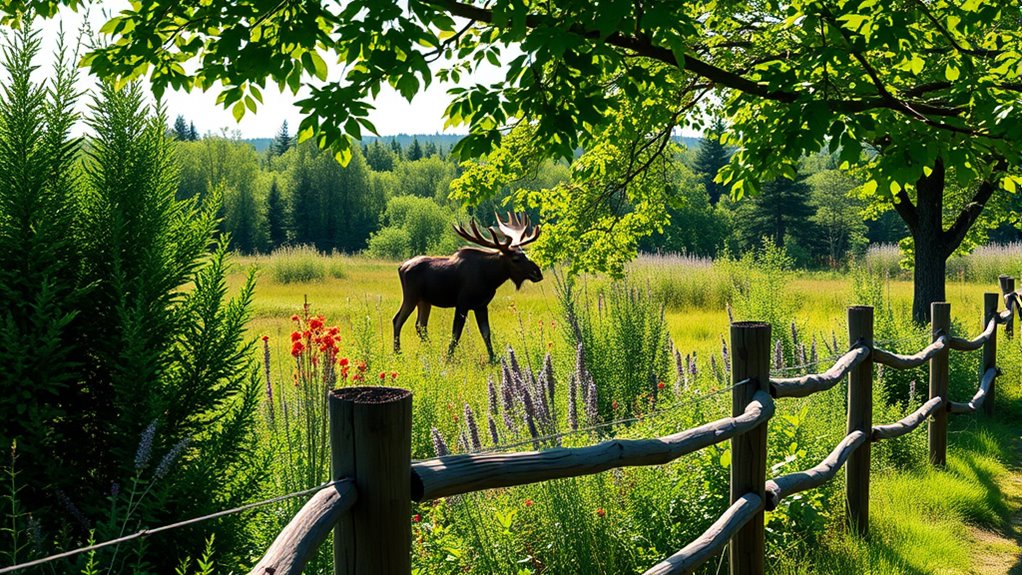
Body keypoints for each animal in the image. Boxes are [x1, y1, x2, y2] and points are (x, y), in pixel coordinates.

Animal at [393, 212, 543, 362]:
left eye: (525, 254)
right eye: (515, 259)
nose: (538, 273)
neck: (490, 278)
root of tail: (401, 267)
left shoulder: (481, 305)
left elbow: (486, 333)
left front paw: (492, 358)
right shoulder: (462, 303)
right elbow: (456, 334)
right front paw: (448, 359)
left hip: (424, 301)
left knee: (421, 326)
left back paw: (431, 351)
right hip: (411, 296)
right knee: (398, 320)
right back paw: (398, 353)